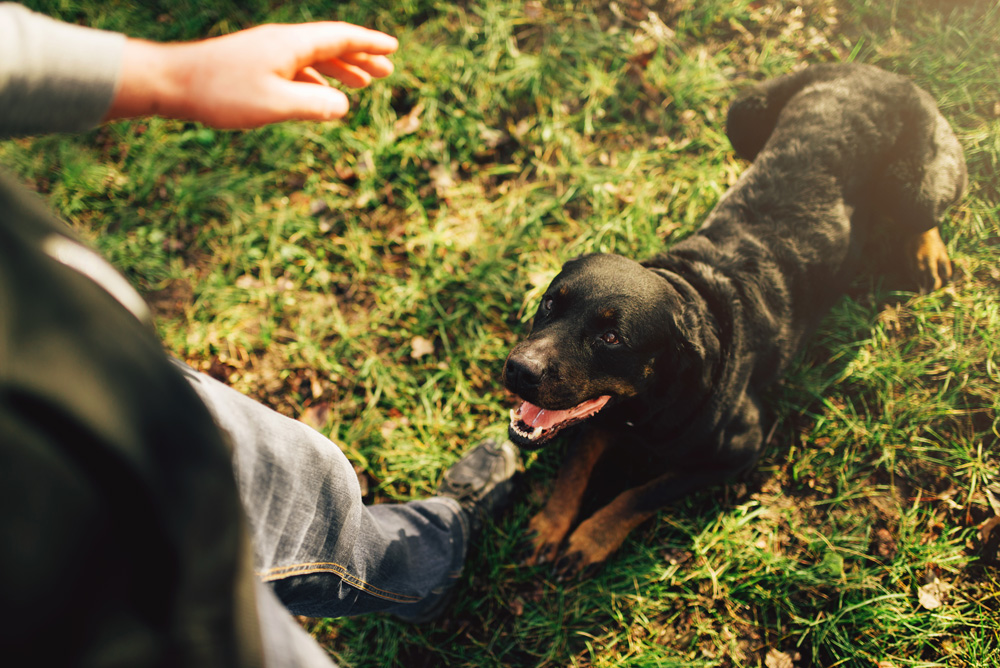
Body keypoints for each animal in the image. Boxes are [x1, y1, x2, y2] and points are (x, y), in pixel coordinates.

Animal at [504, 61, 964, 576]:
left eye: (611, 337)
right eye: (550, 303)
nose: (519, 369)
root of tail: (874, 70)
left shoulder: (743, 445)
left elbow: (645, 492)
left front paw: (591, 537)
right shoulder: (597, 415)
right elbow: (576, 463)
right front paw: (551, 524)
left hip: (913, 189)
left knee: (929, 208)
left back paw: (928, 253)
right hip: (742, 115)